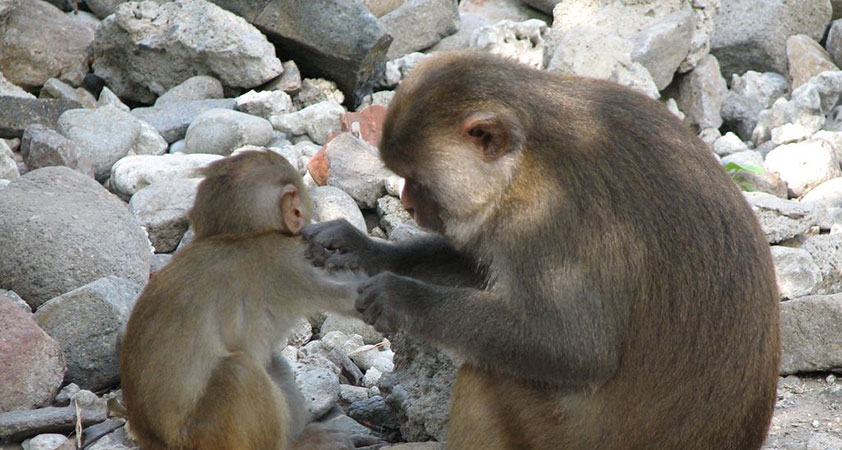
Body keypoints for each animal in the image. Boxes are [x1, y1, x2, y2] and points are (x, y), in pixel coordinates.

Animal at [119, 150, 360, 450]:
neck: (235, 236)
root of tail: (153, 439)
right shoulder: (287, 259)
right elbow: (357, 298)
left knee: (272, 364)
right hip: (206, 436)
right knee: (239, 372)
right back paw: (300, 443)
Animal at [303, 51, 780, 450]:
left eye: (416, 179)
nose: (406, 204)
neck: (530, 155)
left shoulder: (551, 216)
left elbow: (576, 349)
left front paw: (401, 298)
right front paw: (360, 249)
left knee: (487, 376)